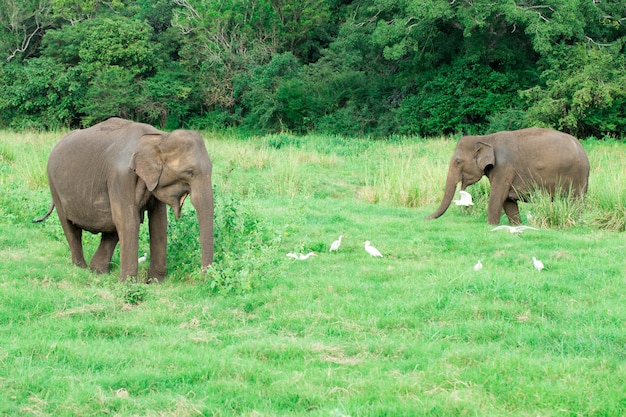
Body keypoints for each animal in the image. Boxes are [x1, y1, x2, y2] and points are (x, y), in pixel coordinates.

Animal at [34, 115, 214, 282]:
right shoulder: (120, 177)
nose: (203, 279)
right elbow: (129, 221)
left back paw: (97, 271)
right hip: (54, 185)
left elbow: (158, 222)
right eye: (190, 172)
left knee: (111, 229)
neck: (159, 137)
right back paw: (81, 269)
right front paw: (128, 285)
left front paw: (155, 283)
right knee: (71, 228)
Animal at [426, 127, 588, 224]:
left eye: (458, 161)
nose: (425, 219)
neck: (486, 138)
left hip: (577, 176)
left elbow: (497, 197)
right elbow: (508, 201)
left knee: (575, 201)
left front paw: (491, 225)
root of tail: (582, 149)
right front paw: (516, 226)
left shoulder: (504, 167)